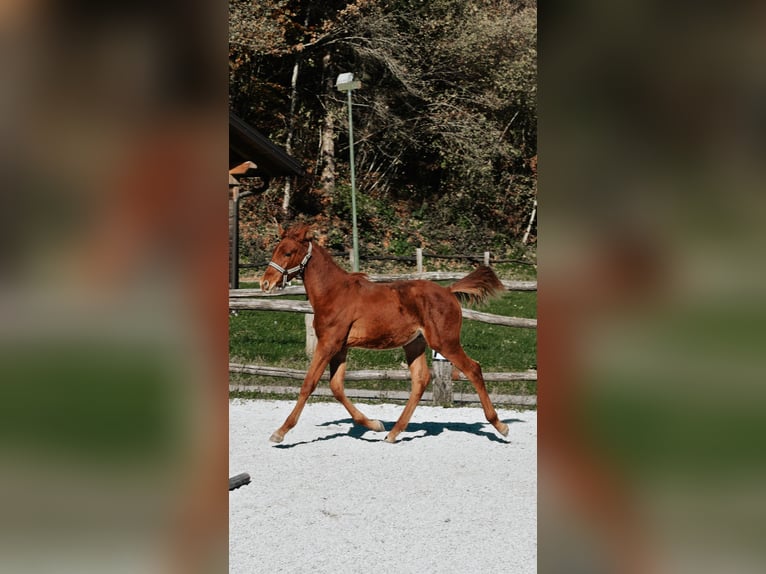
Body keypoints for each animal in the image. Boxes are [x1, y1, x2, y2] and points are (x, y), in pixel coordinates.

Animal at [260, 225, 512, 446]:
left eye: (288, 252)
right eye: (276, 249)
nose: (265, 283)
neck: (334, 292)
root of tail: (448, 291)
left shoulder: (328, 344)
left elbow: (309, 384)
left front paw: (280, 432)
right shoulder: (340, 347)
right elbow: (336, 387)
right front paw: (375, 424)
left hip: (444, 343)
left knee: (473, 369)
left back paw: (500, 426)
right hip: (414, 344)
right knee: (421, 379)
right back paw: (393, 433)